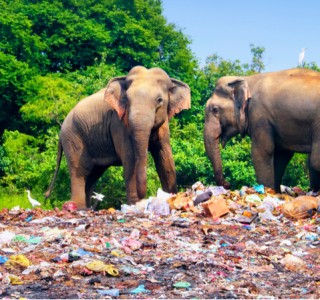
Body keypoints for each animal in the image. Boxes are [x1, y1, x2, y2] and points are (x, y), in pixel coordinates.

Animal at [45, 67, 190, 210]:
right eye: (127, 100)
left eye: (160, 100)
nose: (145, 197)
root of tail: (61, 131)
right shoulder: (119, 124)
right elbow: (130, 160)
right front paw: (135, 206)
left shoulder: (163, 126)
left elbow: (164, 158)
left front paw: (171, 199)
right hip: (73, 138)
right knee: (80, 171)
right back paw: (80, 208)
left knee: (93, 174)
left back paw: (86, 208)